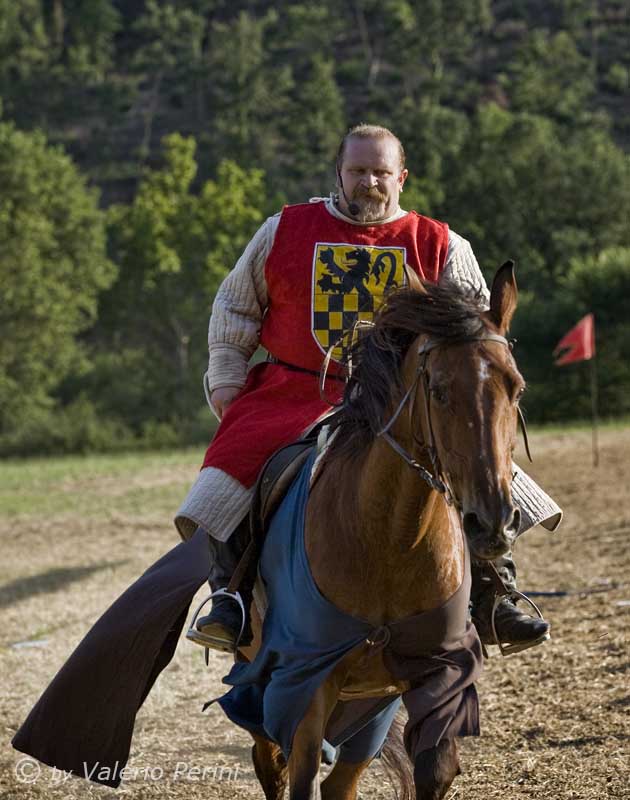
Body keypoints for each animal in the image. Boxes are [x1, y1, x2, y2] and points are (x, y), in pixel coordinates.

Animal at [242, 264, 524, 800]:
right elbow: (301, 775)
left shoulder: (440, 676)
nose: (492, 522)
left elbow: (435, 768)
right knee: (271, 763)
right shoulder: (303, 684)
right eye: (438, 389)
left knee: (340, 781)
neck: (391, 539)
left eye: (515, 387)